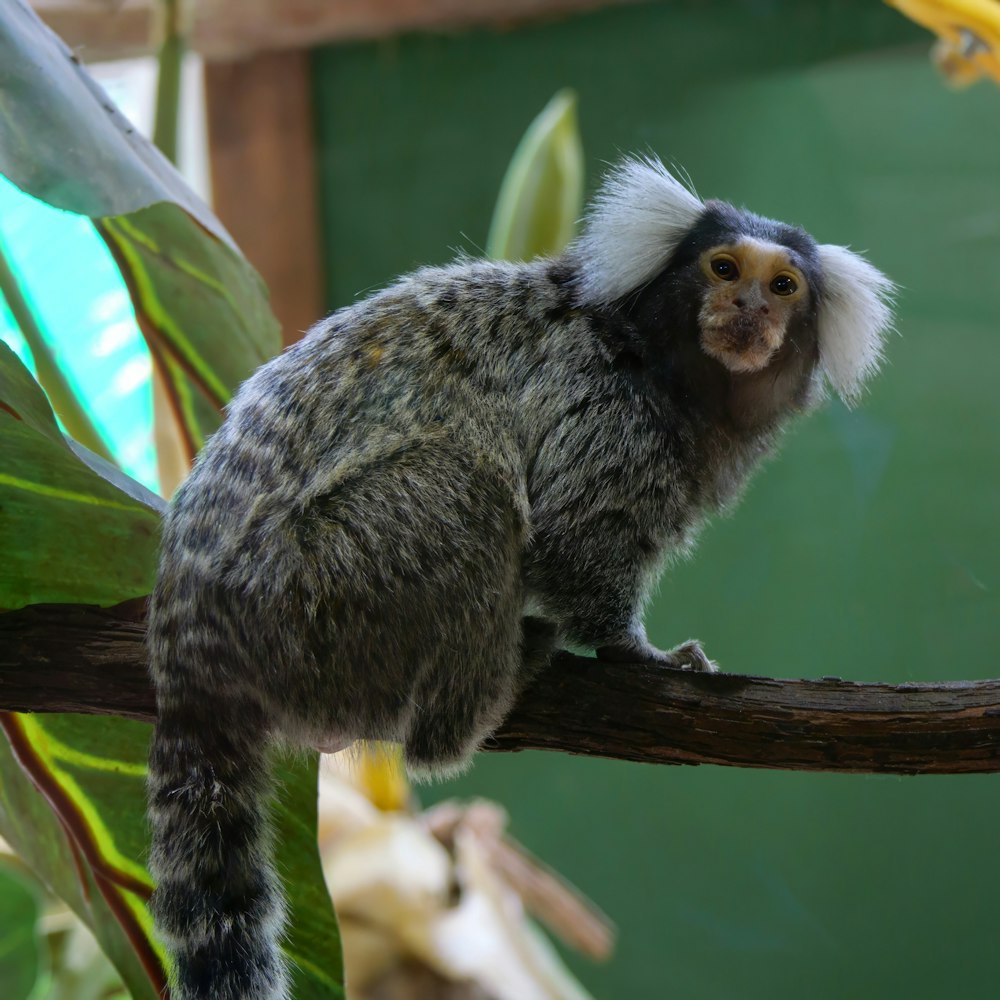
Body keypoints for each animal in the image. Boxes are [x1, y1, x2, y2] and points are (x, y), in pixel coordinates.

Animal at [145, 158, 896, 1000]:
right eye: (724, 269)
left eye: (784, 287)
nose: (747, 308)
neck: (659, 361)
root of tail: (191, 637)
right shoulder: (602, 407)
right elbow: (574, 539)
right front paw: (638, 653)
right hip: (314, 592)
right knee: (464, 487)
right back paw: (485, 692)